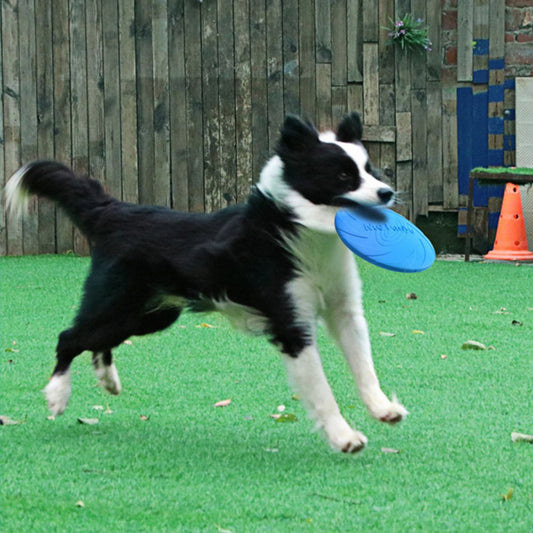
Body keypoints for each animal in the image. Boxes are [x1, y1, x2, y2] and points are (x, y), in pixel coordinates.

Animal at [4, 114, 406, 450]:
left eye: (369, 169)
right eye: (342, 176)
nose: (387, 192)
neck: (299, 231)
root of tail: (114, 211)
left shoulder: (345, 311)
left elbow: (364, 365)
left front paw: (383, 408)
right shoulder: (292, 326)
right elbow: (322, 390)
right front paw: (344, 437)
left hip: (150, 314)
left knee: (97, 340)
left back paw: (107, 379)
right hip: (117, 303)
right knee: (69, 337)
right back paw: (57, 395)